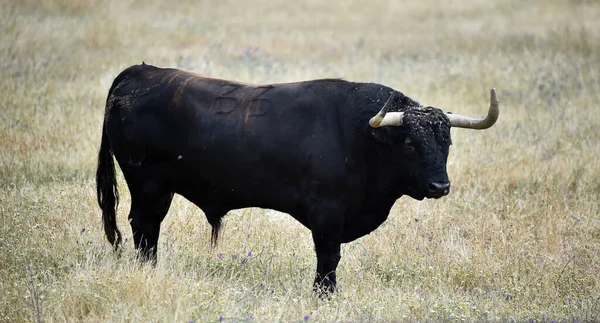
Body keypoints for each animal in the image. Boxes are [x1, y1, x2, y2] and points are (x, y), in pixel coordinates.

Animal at [96, 63, 500, 294]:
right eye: (411, 144)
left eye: (447, 142)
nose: (440, 187)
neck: (359, 136)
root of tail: (136, 73)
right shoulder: (327, 213)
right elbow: (329, 257)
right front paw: (324, 295)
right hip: (148, 185)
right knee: (144, 226)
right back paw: (148, 270)